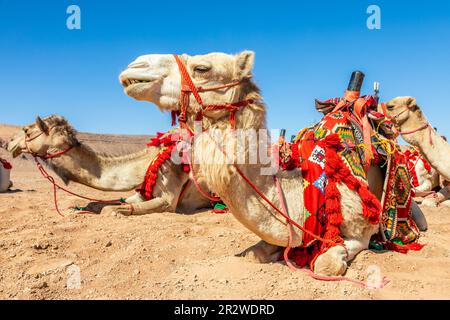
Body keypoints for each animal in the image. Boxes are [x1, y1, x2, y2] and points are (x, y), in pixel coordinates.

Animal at [5, 115, 213, 215]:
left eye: (26, 130)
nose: (8, 143)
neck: (149, 161)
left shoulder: (169, 200)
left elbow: (110, 210)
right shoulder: (142, 194)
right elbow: (105, 204)